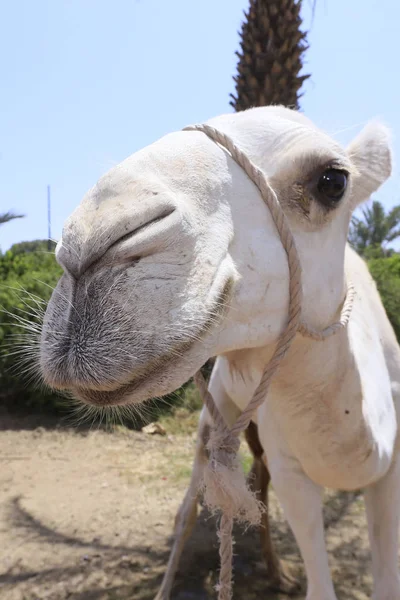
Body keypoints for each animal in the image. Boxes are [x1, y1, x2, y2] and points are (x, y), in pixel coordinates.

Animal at [38, 105, 400, 596]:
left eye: (332, 181)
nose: (86, 246)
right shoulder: (292, 469)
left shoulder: (391, 467)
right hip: (215, 416)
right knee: (190, 507)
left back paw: (279, 573)